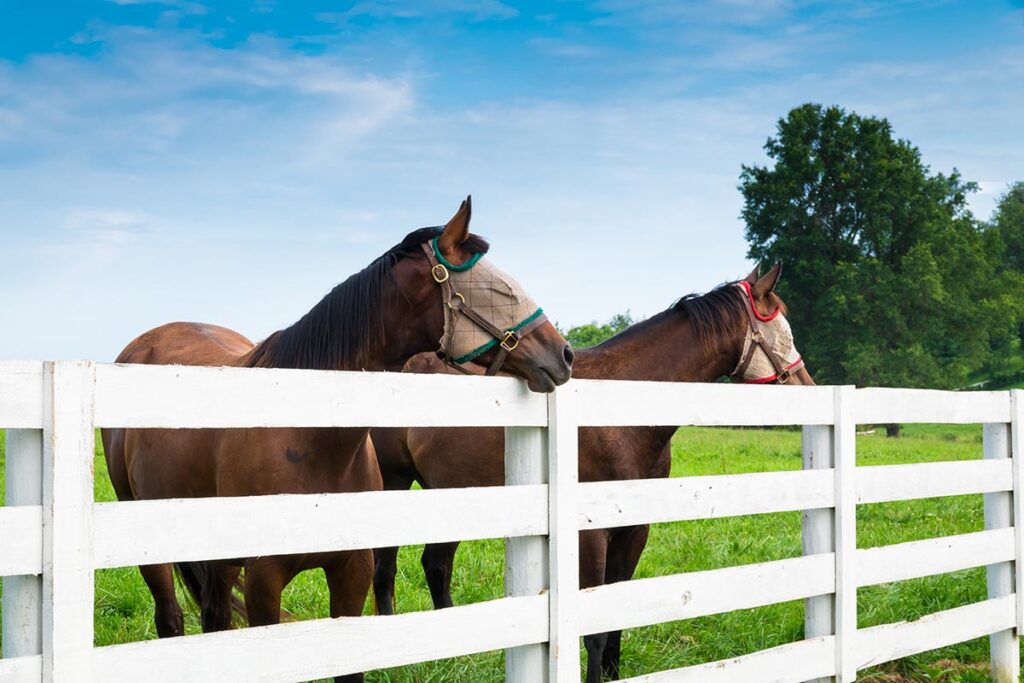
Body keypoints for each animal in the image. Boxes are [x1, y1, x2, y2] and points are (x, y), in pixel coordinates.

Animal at [100, 197, 574, 683]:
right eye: (500, 290)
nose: (564, 355)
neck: (309, 440)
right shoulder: (264, 583)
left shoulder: (351, 573)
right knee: (171, 621)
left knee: (215, 619)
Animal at [370, 263, 815, 682]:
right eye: (782, 329)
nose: (807, 386)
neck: (619, 412)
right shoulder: (591, 536)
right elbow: (596, 627)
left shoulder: (635, 530)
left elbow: (615, 615)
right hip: (395, 483)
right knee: (386, 566)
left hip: (450, 494)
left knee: (436, 565)